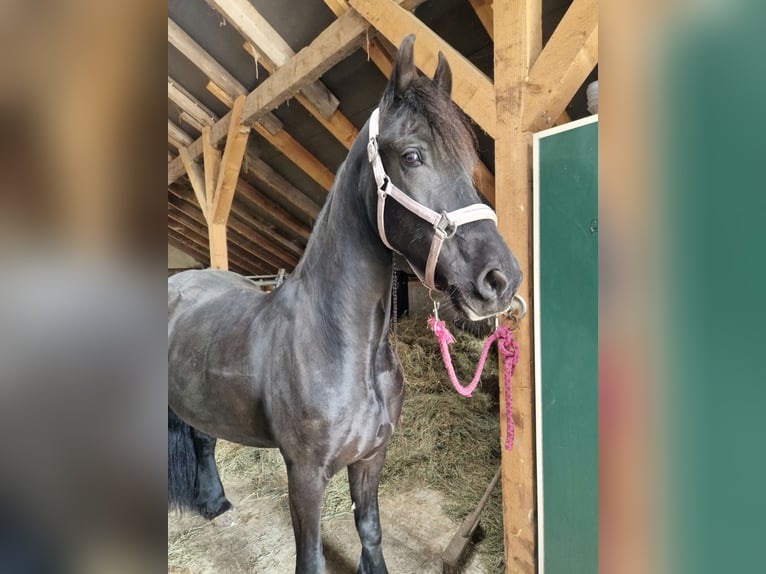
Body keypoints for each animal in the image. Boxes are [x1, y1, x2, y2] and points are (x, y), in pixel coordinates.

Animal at [168, 35, 521, 574]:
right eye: (413, 156)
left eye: (468, 161)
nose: (501, 279)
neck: (342, 349)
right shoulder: (306, 475)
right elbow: (311, 558)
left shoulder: (371, 457)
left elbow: (370, 529)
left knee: (204, 437)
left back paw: (214, 502)